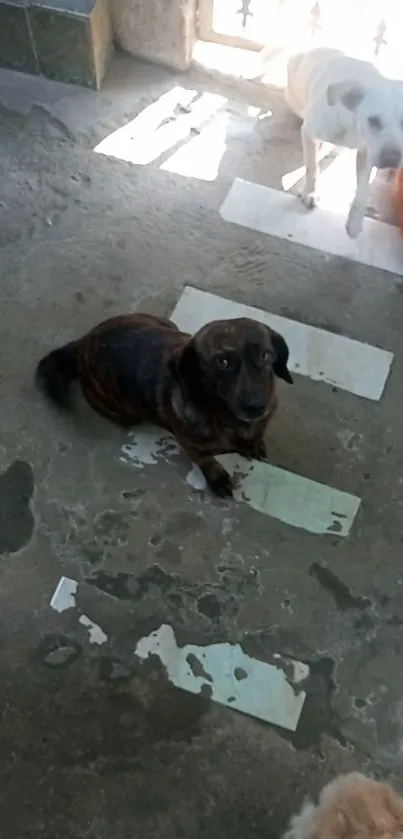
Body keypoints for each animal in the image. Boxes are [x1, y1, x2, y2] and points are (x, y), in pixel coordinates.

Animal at [35, 316, 294, 498]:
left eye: (266, 355)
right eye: (223, 362)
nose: (257, 407)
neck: (226, 417)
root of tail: (84, 344)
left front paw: (254, 444)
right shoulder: (191, 446)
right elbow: (206, 461)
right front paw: (217, 477)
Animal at [286, 49, 403, 236]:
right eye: (373, 120)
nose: (391, 159)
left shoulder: (366, 152)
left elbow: (363, 189)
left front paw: (354, 223)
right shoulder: (309, 133)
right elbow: (312, 167)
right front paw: (311, 193)